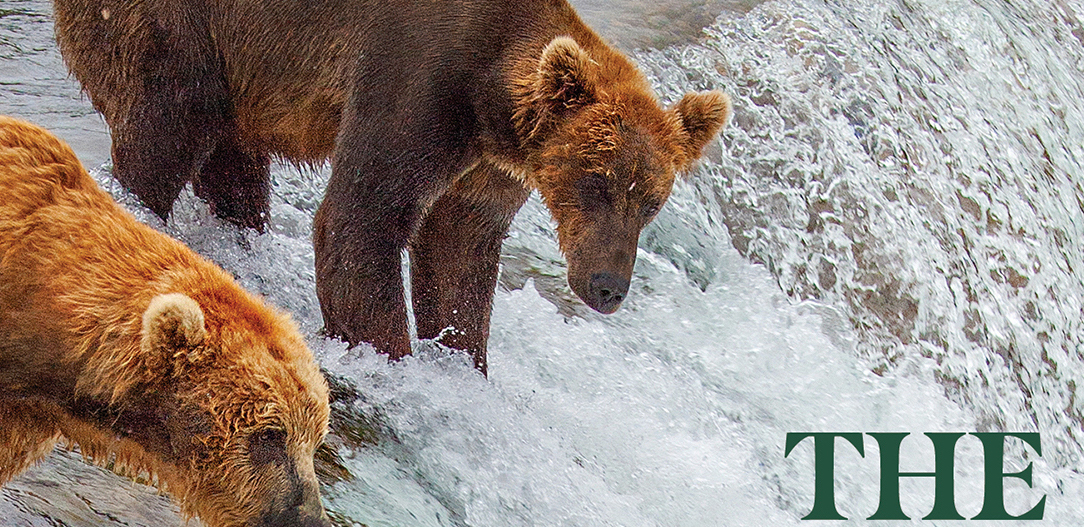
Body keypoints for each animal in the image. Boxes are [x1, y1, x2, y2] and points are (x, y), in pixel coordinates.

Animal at [51, 0, 731, 373]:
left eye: (650, 201)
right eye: (597, 182)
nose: (608, 286)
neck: (489, 99)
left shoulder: (486, 167)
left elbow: (458, 257)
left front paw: (462, 362)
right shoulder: (418, 80)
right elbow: (363, 222)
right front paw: (394, 358)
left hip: (244, 75)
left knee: (234, 167)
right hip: (187, 29)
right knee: (167, 126)